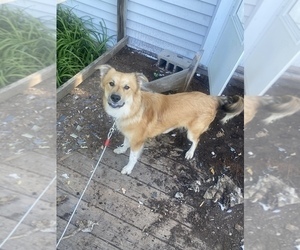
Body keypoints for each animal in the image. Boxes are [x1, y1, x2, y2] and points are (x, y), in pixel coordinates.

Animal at [98, 64, 244, 174]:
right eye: (111, 83)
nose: (115, 98)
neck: (132, 110)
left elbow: (132, 157)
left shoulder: (138, 142)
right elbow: (125, 143)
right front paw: (122, 149)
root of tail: (212, 98)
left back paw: (190, 153)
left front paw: (128, 168)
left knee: (196, 141)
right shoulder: (130, 136)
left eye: (127, 87)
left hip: (192, 132)